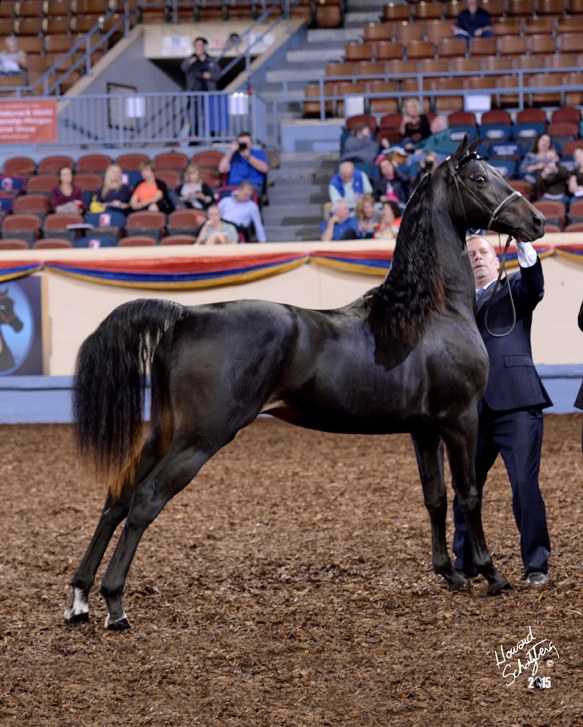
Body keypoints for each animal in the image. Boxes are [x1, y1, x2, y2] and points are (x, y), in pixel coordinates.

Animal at [64, 137, 545, 631]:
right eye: (480, 178)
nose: (536, 221)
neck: (432, 312)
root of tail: (187, 315)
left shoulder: (424, 429)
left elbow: (435, 496)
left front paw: (449, 573)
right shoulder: (459, 420)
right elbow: (469, 495)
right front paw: (490, 574)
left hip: (163, 434)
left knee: (117, 498)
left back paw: (80, 598)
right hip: (198, 439)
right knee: (144, 501)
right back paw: (114, 604)